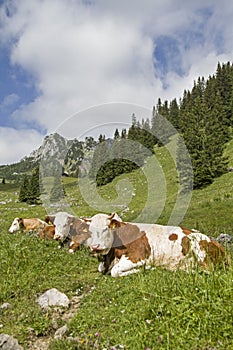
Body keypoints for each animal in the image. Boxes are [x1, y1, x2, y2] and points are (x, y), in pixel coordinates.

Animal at [86, 212, 231, 278]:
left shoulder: (137, 257)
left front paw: (146, 268)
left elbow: (115, 271)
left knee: (209, 270)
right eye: (90, 231)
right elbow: (102, 268)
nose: (95, 247)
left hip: (197, 245)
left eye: (106, 228)